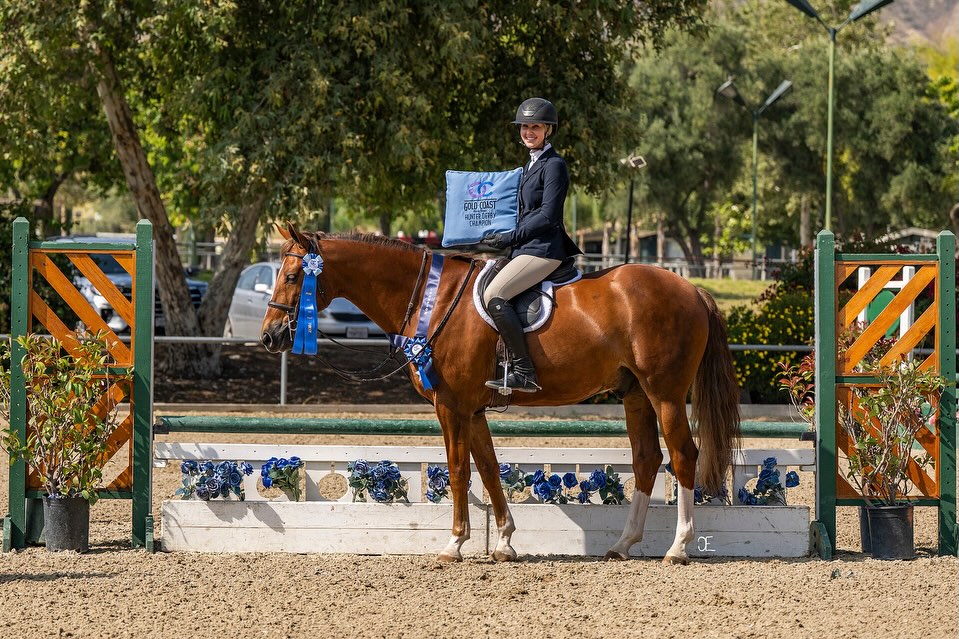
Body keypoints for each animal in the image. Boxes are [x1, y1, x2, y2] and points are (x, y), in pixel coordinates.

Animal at [261, 225, 741, 564]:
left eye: (293, 276)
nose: (270, 336)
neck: (434, 300)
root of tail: (692, 289)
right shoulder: (473, 411)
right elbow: (490, 470)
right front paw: (505, 542)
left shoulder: (451, 407)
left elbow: (459, 471)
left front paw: (455, 544)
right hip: (636, 394)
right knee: (646, 458)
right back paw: (623, 544)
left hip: (665, 393)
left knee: (683, 455)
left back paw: (678, 548)